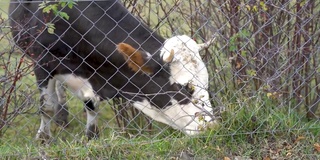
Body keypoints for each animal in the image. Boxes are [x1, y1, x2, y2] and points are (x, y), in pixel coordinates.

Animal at [8, 0, 216, 142]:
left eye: (206, 83)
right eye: (183, 87)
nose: (210, 126)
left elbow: (91, 104)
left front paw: (91, 137)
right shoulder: (42, 62)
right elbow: (47, 107)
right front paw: (43, 139)